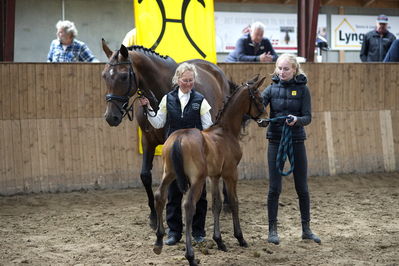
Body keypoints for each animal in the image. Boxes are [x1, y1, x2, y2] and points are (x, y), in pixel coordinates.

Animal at [101, 39, 231, 229]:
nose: (111, 117)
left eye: (124, 76)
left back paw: (227, 202)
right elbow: (145, 175)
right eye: (104, 75)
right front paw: (154, 216)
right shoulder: (147, 141)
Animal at [155, 75, 268, 266]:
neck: (225, 131)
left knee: (159, 196)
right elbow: (234, 202)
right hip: (197, 179)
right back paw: (191, 256)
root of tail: (179, 138)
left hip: (169, 174)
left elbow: (216, 204)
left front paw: (219, 241)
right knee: (188, 206)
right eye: (260, 99)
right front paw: (240, 238)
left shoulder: (214, 176)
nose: (266, 120)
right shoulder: (230, 174)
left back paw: (158, 242)